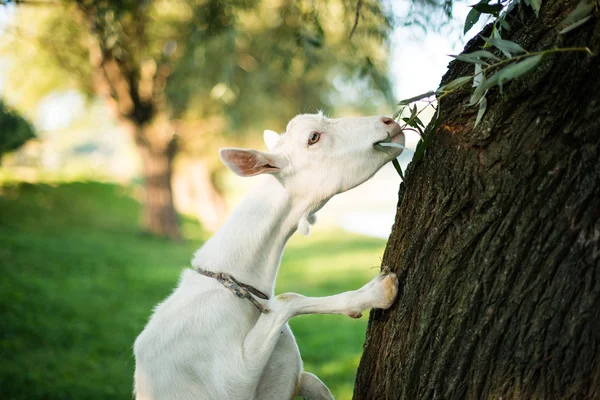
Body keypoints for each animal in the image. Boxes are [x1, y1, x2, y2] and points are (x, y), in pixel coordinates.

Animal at [135, 112, 406, 400]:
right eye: (313, 137)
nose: (388, 121)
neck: (235, 282)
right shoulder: (231, 382)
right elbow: (287, 299)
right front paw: (377, 292)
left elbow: (313, 381)